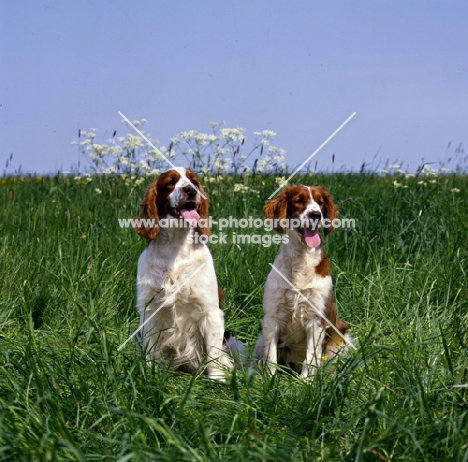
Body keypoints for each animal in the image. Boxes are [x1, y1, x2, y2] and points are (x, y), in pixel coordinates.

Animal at [134, 168, 238, 380]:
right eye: (170, 182)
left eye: (194, 181)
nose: (190, 190)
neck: (176, 247)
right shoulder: (150, 310)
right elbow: (150, 348)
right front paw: (150, 373)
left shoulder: (210, 311)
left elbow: (214, 350)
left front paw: (218, 378)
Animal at [256, 184, 352, 378]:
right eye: (299, 200)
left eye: (320, 202)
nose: (316, 215)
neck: (301, 260)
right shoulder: (272, 317)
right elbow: (270, 355)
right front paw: (269, 378)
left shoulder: (316, 320)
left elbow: (311, 356)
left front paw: (305, 381)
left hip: (342, 337)